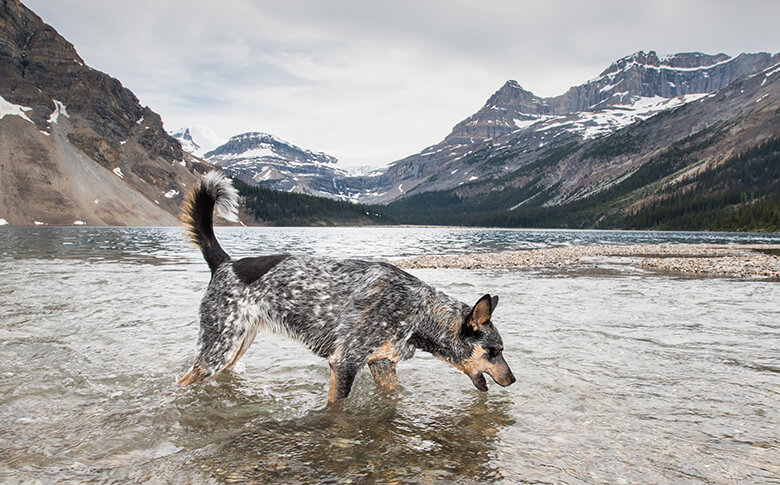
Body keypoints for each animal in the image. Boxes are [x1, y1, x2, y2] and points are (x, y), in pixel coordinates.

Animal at [179, 170, 516, 400]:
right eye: (494, 351)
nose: (513, 380)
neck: (419, 313)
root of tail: (225, 263)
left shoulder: (382, 365)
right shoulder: (345, 363)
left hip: (235, 346)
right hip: (217, 351)